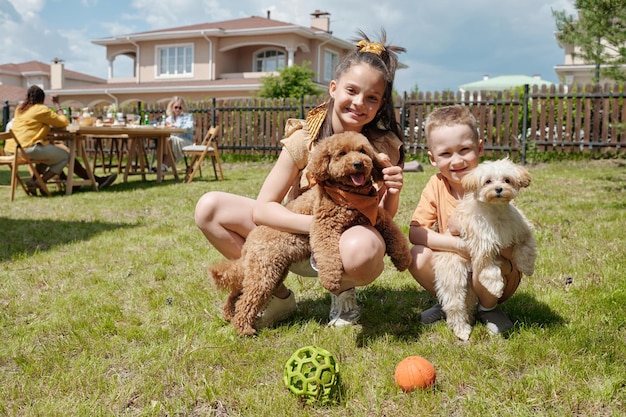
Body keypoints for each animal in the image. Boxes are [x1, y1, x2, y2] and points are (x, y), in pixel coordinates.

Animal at [428, 158, 536, 340]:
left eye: (507, 180)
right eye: (488, 181)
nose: (498, 189)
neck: (496, 211)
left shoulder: (521, 229)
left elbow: (526, 247)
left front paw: (527, 267)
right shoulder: (482, 245)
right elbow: (488, 268)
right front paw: (495, 287)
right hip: (453, 276)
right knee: (454, 305)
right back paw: (462, 330)